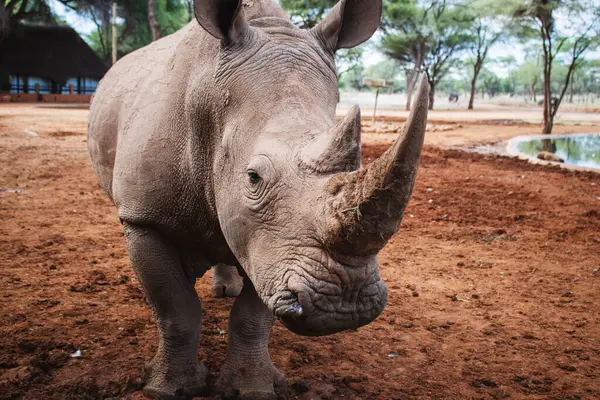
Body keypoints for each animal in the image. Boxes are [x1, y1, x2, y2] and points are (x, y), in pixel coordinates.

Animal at [86, 0, 428, 396]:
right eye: (253, 178)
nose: (346, 304)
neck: (210, 109)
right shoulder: (143, 218)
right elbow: (176, 309)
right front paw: (168, 389)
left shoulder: (273, 248)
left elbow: (252, 316)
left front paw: (251, 389)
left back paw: (226, 291)